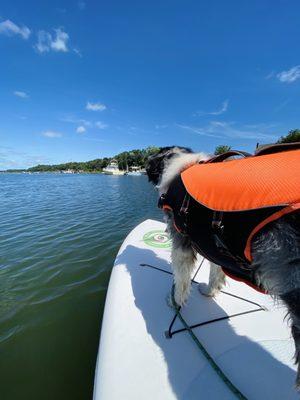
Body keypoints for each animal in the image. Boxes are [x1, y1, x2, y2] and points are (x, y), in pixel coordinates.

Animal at [146, 146, 300, 388]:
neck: (182, 168)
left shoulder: (181, 242)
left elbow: (180, 280)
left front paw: (174, 301)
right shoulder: (211, 242)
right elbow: (216, 272)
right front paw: (209, 292)